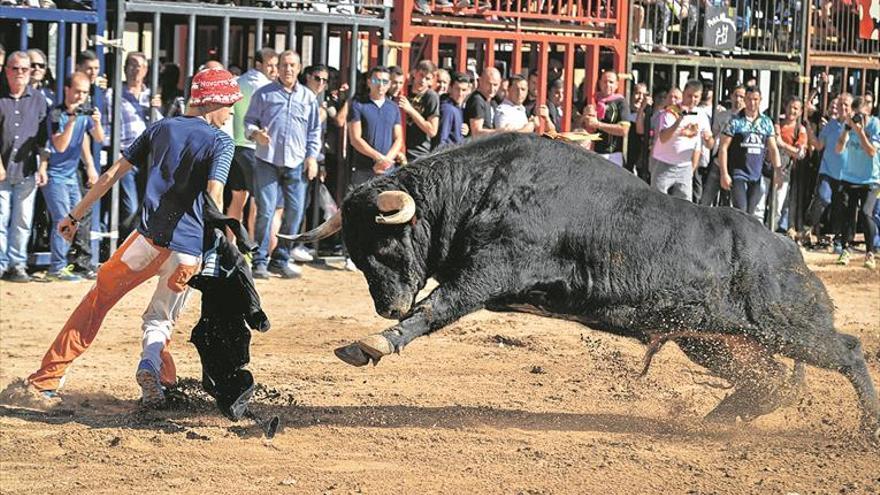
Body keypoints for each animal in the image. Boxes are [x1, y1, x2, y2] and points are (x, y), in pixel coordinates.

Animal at [292, 132, 876, 434]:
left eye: (387, 246)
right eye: (356, 254)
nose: (387, 307)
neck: (482, 186)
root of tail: (789, 251)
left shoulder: (488, 272)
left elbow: (436, 308)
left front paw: (373, 342)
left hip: (786, 326)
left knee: (847, 352)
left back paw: (865, 430)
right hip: (711, 340)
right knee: (769, 381)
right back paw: (714, 423)